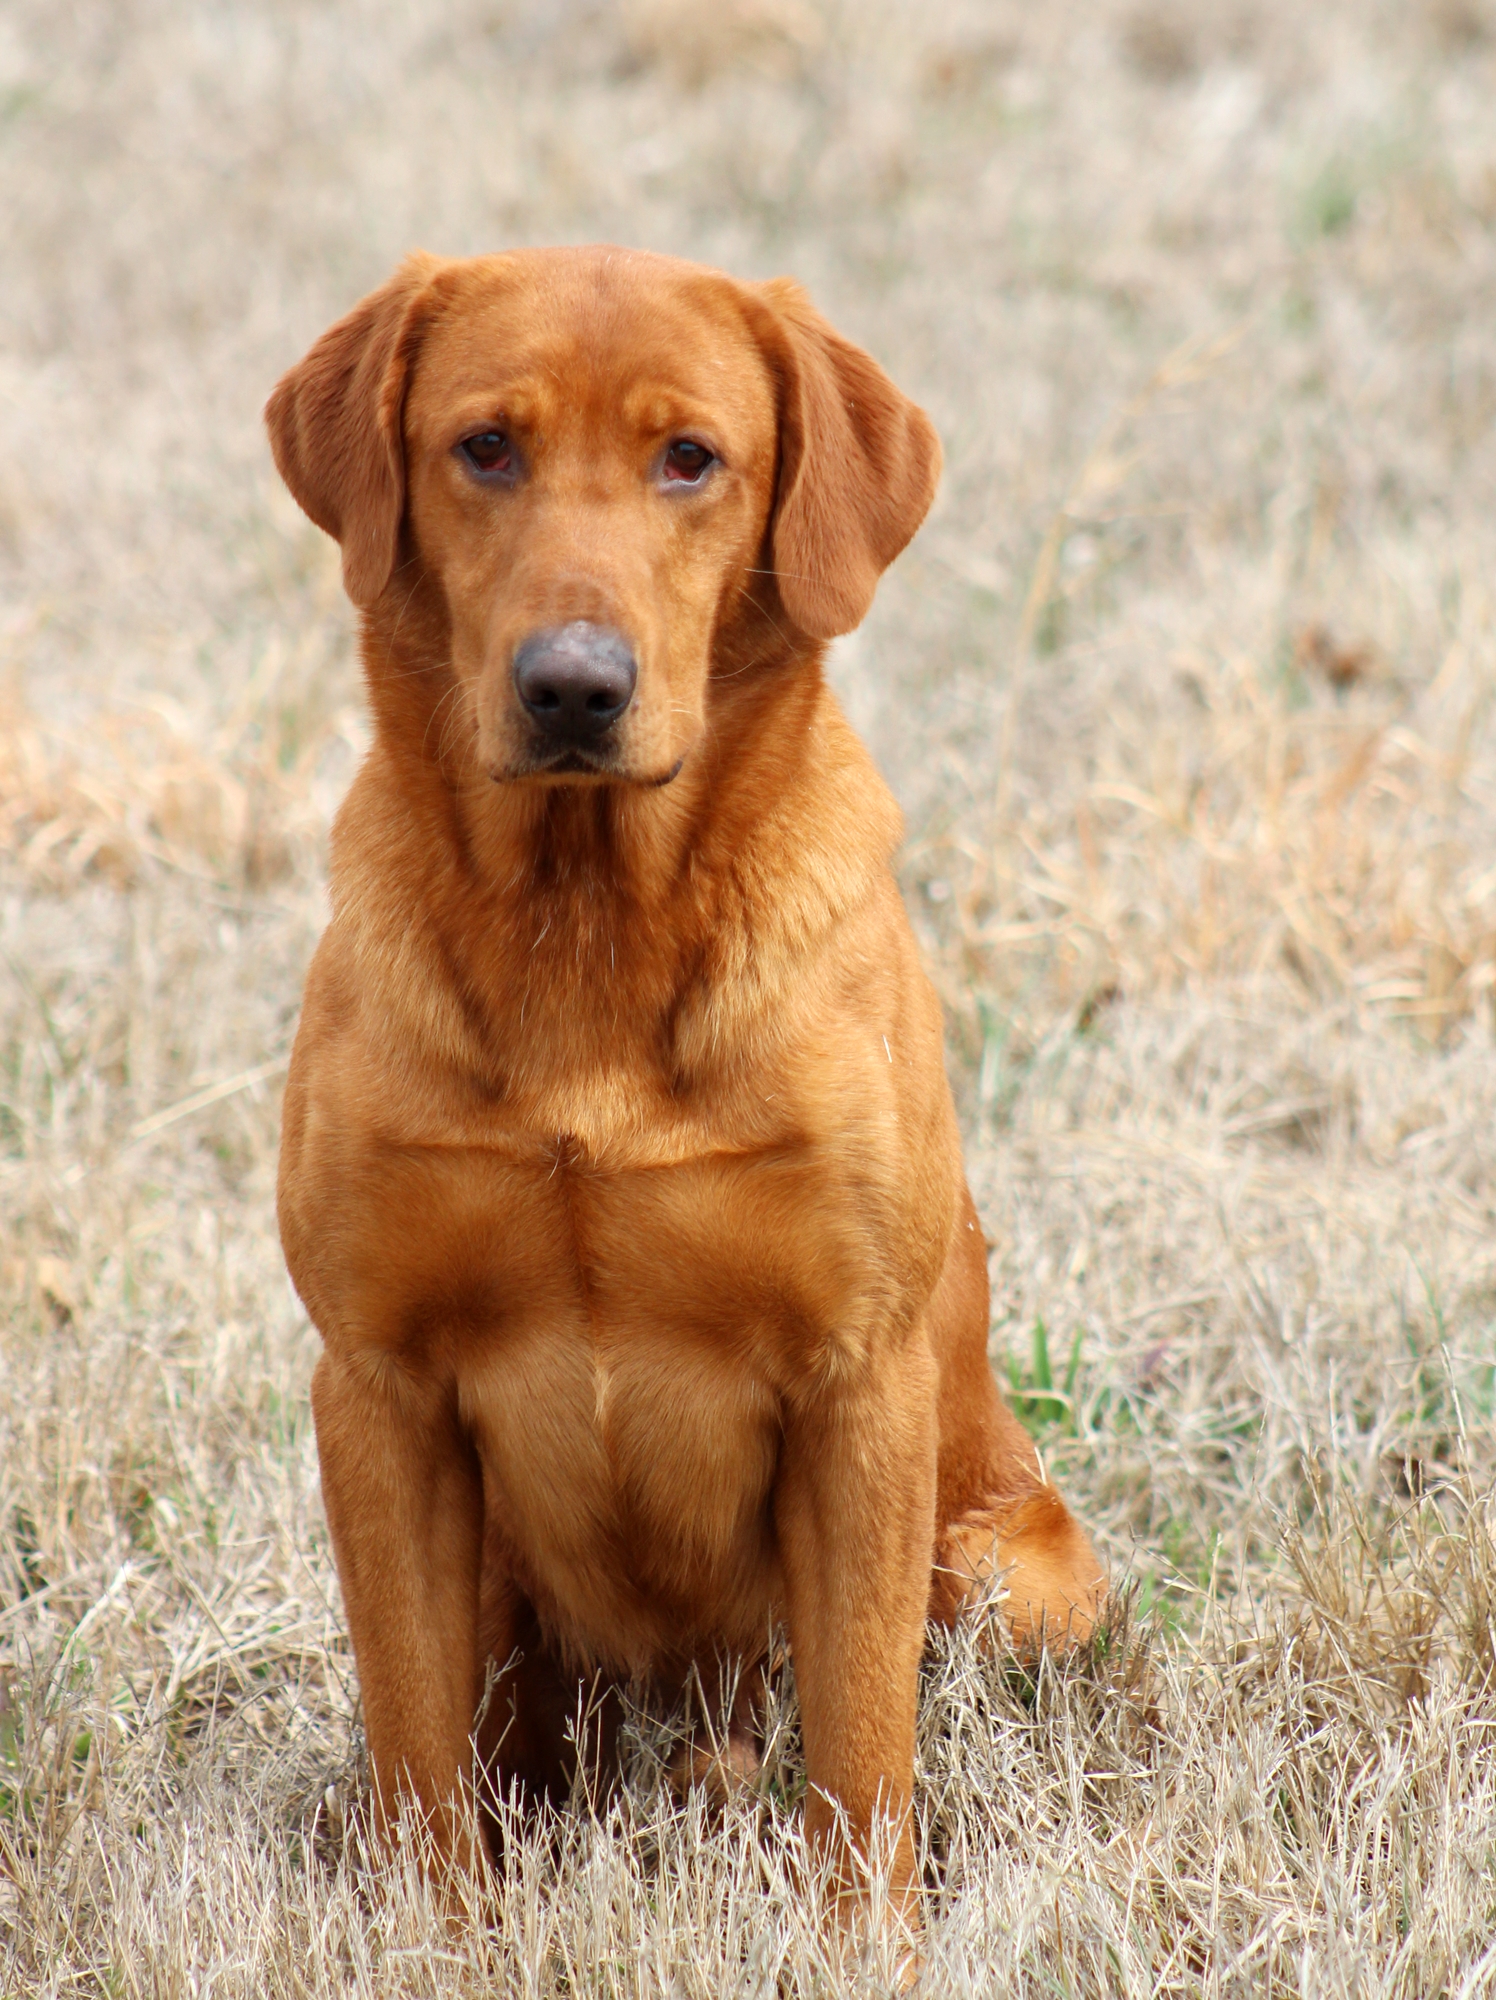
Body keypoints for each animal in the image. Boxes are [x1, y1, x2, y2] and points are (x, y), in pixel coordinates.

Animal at [266, 242, 1096, 1912]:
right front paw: (429, 1939)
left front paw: (869, 1943)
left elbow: (863, 1757)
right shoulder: (376, 1390)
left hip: (1015, 1571)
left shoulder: (860, 1387)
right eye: (486, 447)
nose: (574, 688)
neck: (589, 925)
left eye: (690, 459)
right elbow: (416, 1755)